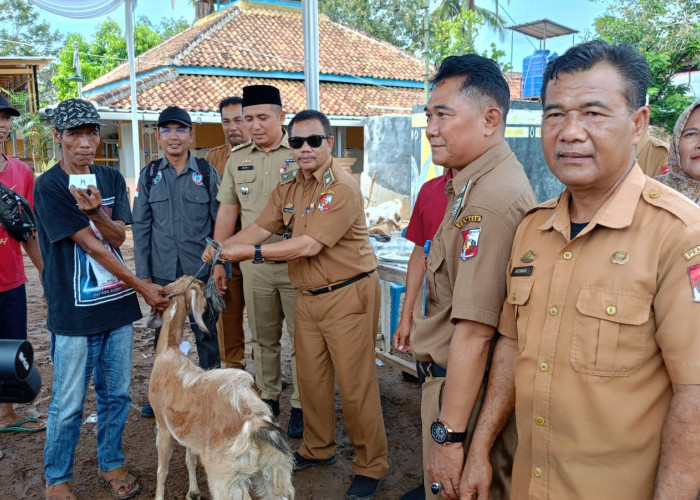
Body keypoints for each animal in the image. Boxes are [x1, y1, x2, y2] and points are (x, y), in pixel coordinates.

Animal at [149, 276, 294, 498]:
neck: (168, 352)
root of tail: (256, 425)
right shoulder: (187, 433)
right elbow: (190, 460)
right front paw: (193, 492)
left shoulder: (163, 426)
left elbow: (162, 470)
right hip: (273, 471)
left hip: (225, 479)